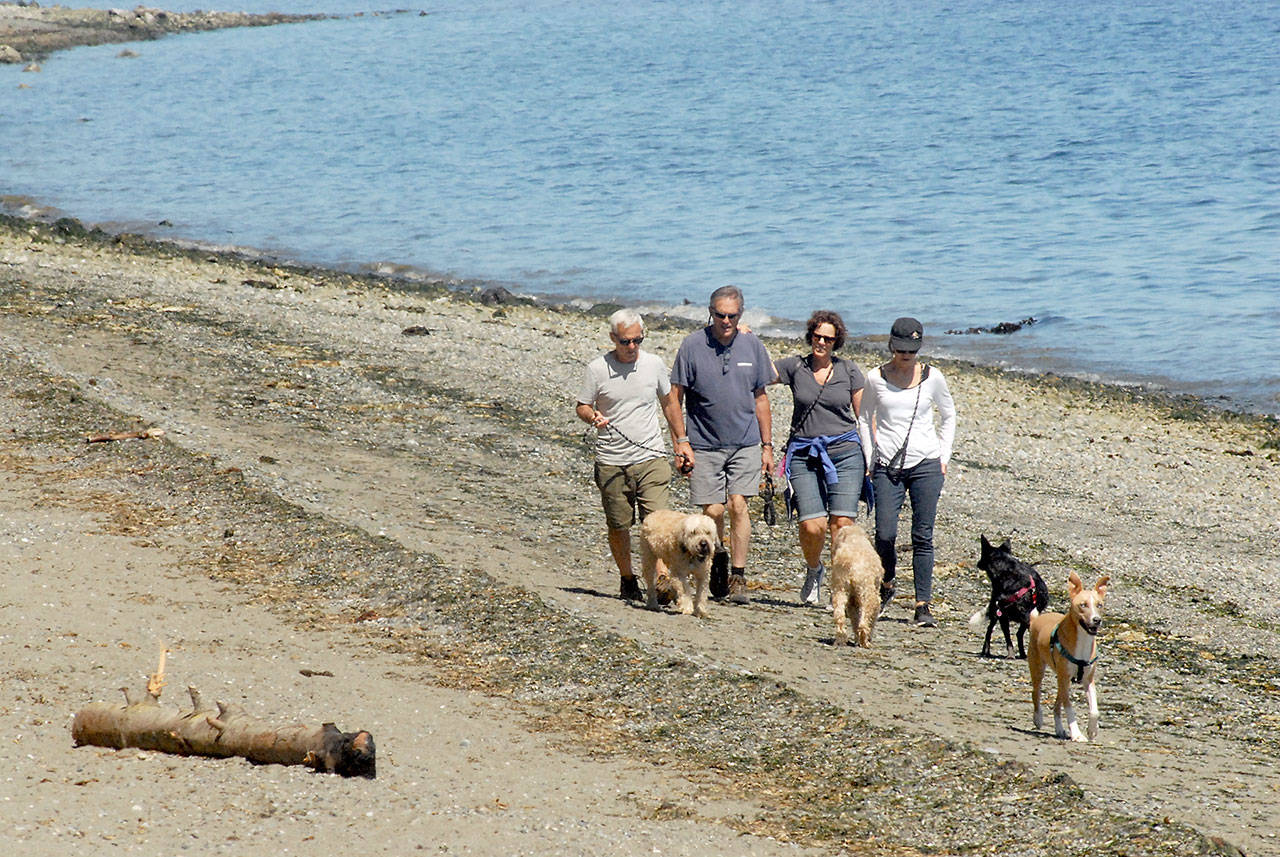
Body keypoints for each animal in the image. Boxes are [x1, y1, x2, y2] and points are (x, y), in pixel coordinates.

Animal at [824, 524, 885, 652]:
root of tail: (851, 566)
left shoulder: (852, 601)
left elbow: (854, 619)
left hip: (840, 590)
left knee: (840, 616)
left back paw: (841, 639)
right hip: (869, 595)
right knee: (863, 622)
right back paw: (865, 642)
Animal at [972, 537, 1044, 665]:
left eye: (982, 554)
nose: (978, 563)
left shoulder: (1026, 617)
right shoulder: (1002, 616)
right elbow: (1008, 639)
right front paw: (1011, 655)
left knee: (1019, 634)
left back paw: (1023, 654)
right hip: (995, 613)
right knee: (989, 630)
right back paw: (986, 651)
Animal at [1029, 573, 1111, 741]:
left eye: (1099, 605)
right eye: (1083, 605)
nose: (1097, 620)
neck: (1083, 640)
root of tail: (1036, 619)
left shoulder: (1088, 679)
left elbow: (1094, 710)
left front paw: (1092, 730)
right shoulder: (1065, 677)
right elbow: (1070, 708)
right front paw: (1077, 734)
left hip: (1062, 680)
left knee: (1056, 705)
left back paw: (1059, 729)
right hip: (1039, 669)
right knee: (1036, 692)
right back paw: (1038, 718)